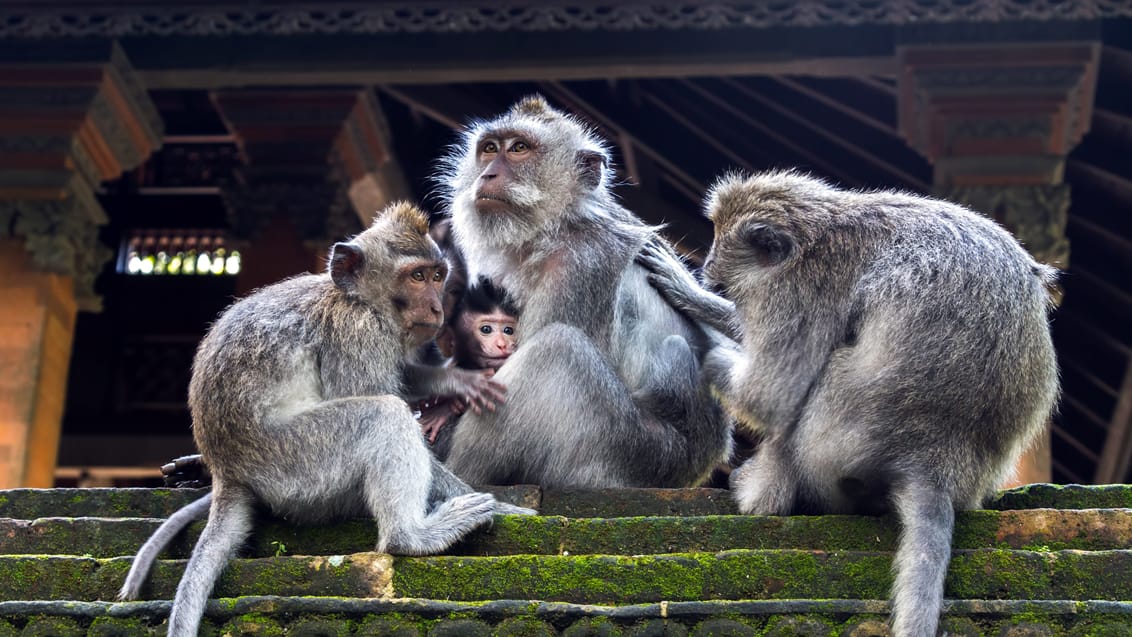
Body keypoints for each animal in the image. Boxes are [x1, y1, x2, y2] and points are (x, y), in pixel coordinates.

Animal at [119, 201, 534, 633]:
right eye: (418, 276)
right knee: (382, 415)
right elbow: (376, 395)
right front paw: (504, 508)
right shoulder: (356, 333)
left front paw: (455, 382)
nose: (437, 307)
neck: (354, 298)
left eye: (438, 275)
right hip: (297, 466)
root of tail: (229, 473)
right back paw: (412, 536)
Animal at [436, 94, 729, 486]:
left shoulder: (581, 265)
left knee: (557, 349)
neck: (561, 224)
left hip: (623, 451)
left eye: (519, 148)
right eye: (489, 149)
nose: (487, 175)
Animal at [647, 169, 1059, 637]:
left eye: (720, 243)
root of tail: (934, 464)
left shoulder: (800, 288)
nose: (707, 265)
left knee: (814, 384)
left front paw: (703, 343)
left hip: (839, 441)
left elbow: (770, 394)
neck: (819, 231)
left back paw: (762, 496)